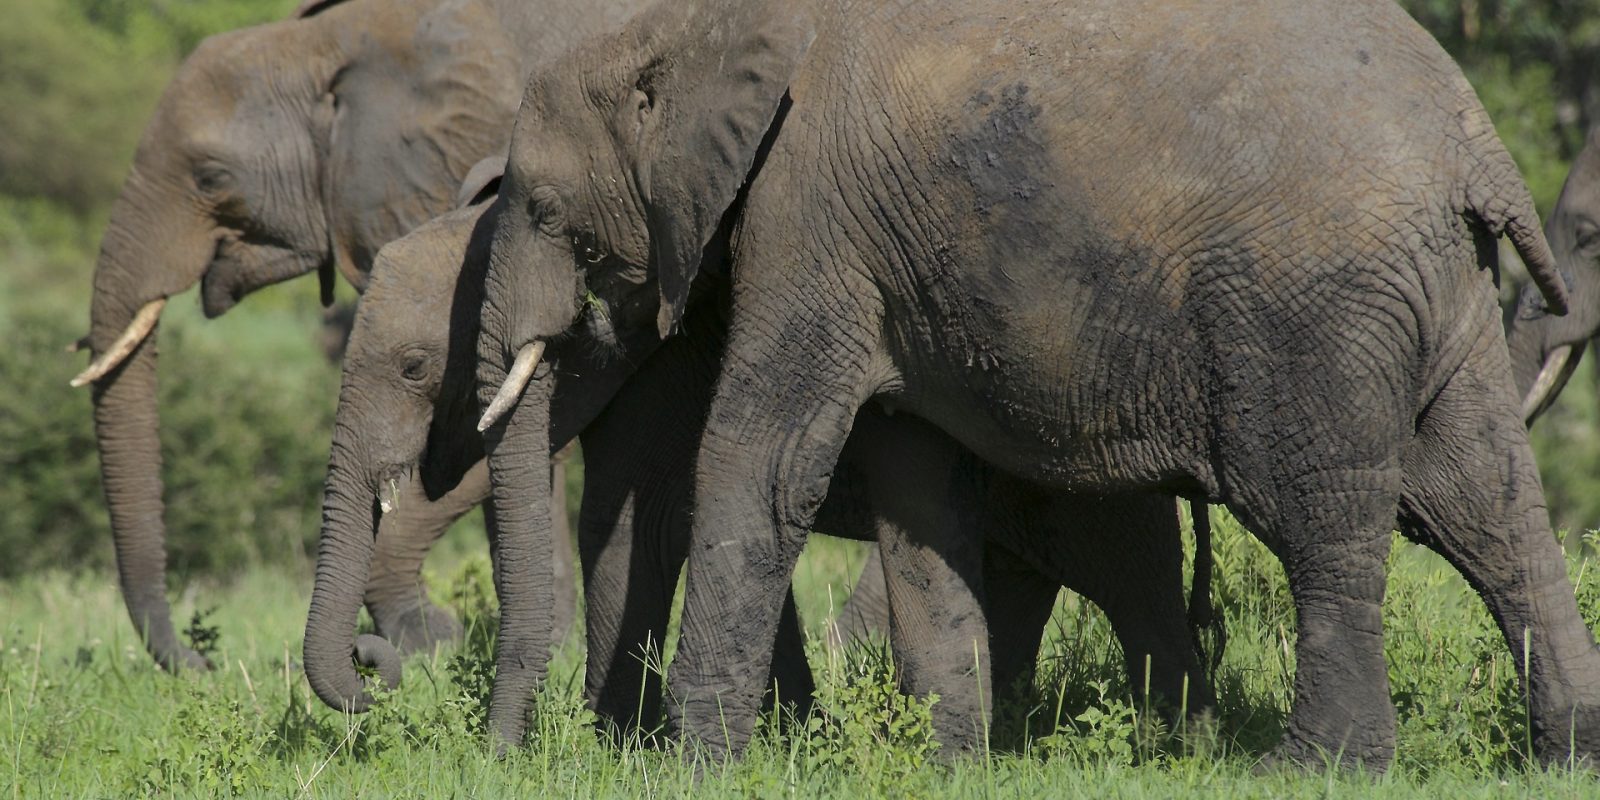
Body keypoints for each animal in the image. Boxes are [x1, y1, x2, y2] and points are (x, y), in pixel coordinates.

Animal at [305, 172, 1216, 745]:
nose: (374, 668)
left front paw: (614, 744)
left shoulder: (673, 368)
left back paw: (1181, 741)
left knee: (1133, 582)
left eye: (415, 367)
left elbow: (640, 522)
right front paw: (794, 736)